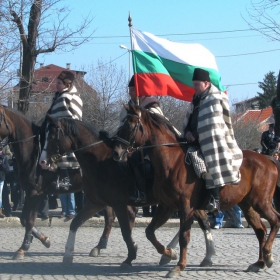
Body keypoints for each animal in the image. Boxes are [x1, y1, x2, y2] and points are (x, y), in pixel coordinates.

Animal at [0, 105, 136, 260]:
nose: (43, 162)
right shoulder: (31, 192)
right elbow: (24, 220)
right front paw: (43, 239)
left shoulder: (35, 193)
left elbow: (28, 220)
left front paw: (24, 247)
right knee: (112, 217)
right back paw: (100, 246)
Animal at [38, 115, 215, 266]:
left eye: (52, 136)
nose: (43, 162)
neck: (100, 160)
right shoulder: (96, 202)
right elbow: (75, 222)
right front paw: (68, 254)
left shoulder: (119, 203)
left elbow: (125, 230)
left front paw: (131, 256)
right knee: (202, 221)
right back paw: (199, 255)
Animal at [112, 103, 280, 278]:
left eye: (130, 125)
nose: (116, 151)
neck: (172, 162)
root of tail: (267, 159)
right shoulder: (167, 206)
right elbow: (149, 232)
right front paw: (169, 253)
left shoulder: (185, 206)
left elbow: (184, 236)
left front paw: (179, 266)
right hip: (248, 205)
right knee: (261, 230)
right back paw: (259, 263)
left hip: (261, 202)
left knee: (275, 220)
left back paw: (267, 255)